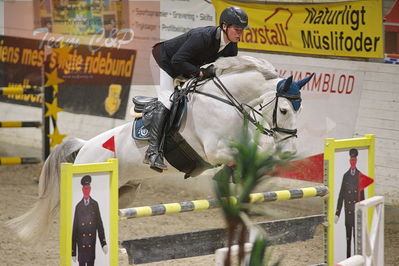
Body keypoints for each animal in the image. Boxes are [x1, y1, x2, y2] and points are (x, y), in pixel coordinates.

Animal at [4, 54, 314, 245]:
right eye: (284, 110)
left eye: (299, 110)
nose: (290, 148)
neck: (226, 100)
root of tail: (83, 147)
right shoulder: (215, 150)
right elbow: (247, 154)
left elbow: (258, 150)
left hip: (126, 191)